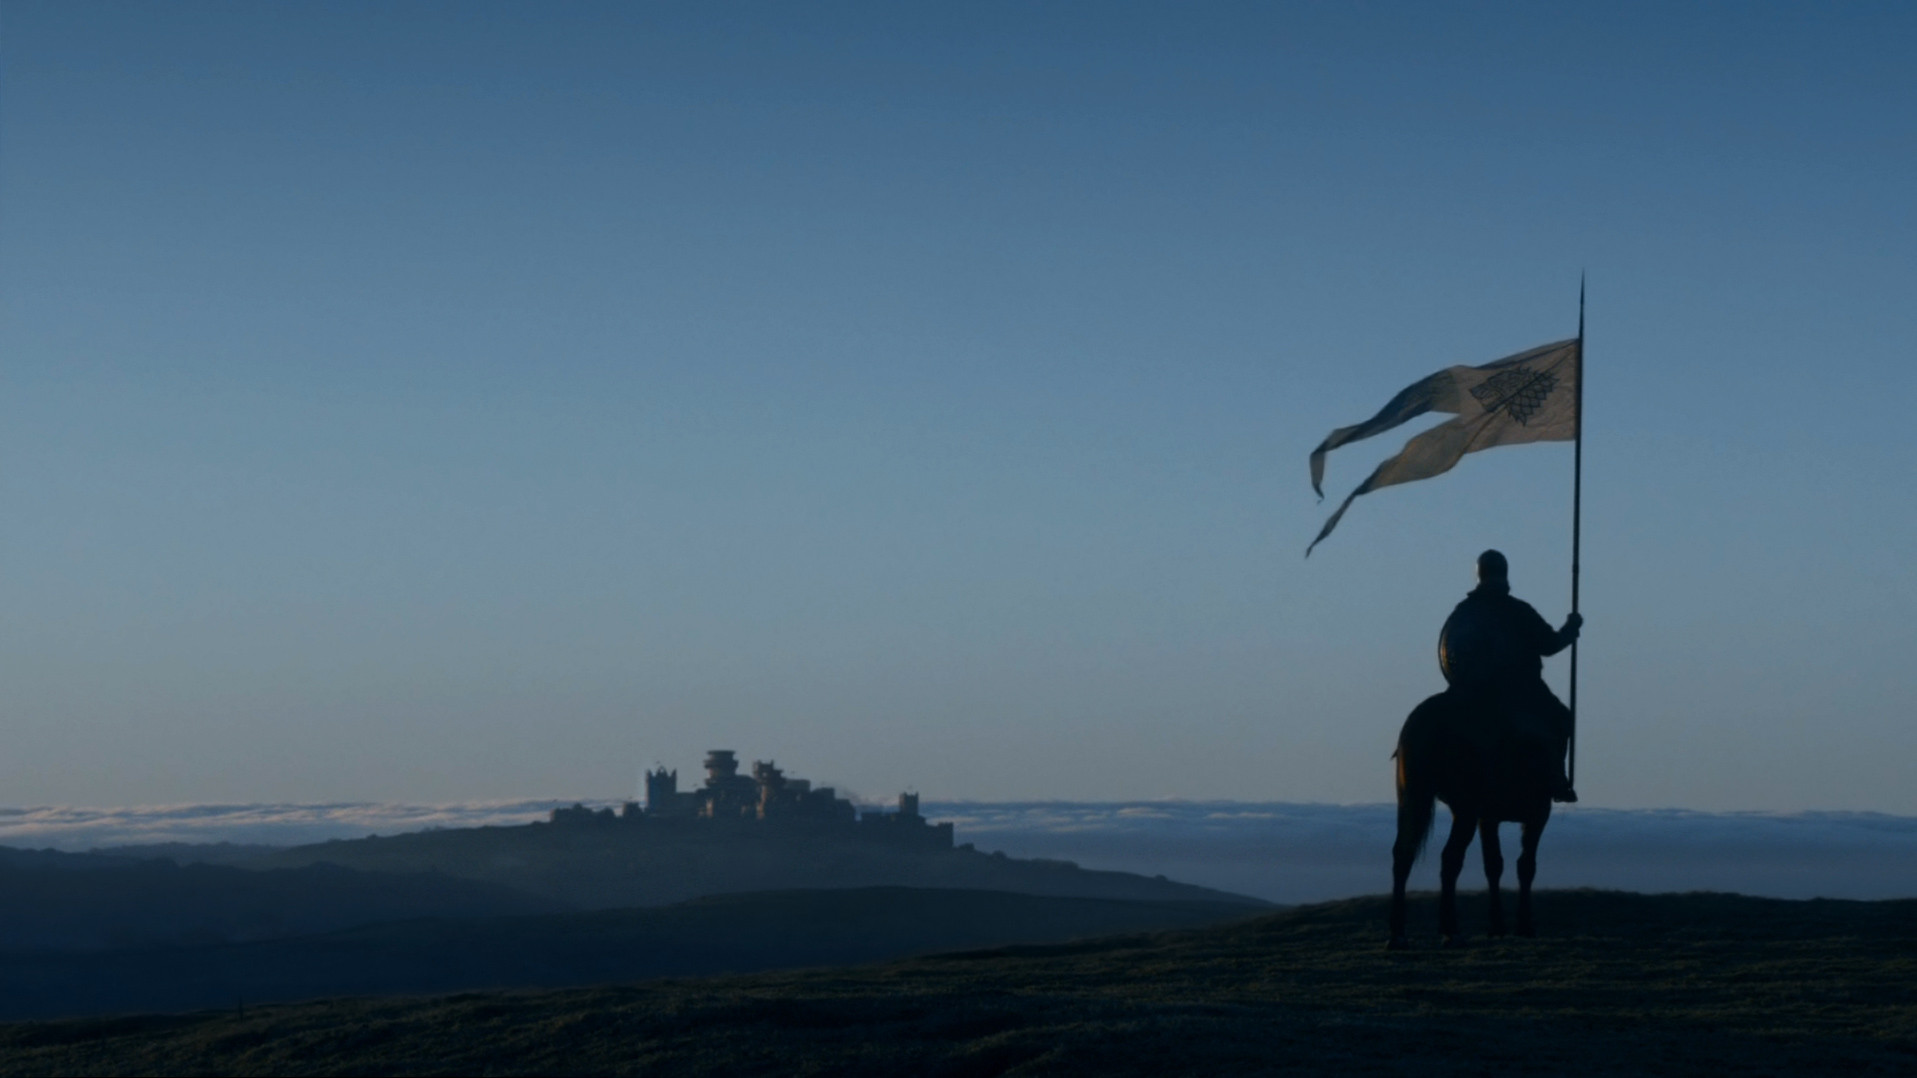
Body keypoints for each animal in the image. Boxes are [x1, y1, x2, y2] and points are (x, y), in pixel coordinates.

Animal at [1395, 682, 1556, 943]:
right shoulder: (1538, 813)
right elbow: (1525, 865)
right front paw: (1523, 926)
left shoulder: (1488, 817)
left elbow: (1493, 864)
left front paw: (1497, 926)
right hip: (1466, 810)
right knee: (1450, 857)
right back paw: (1449, 929)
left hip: (1412, 798)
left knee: (1403, 852)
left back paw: (1398, 935)